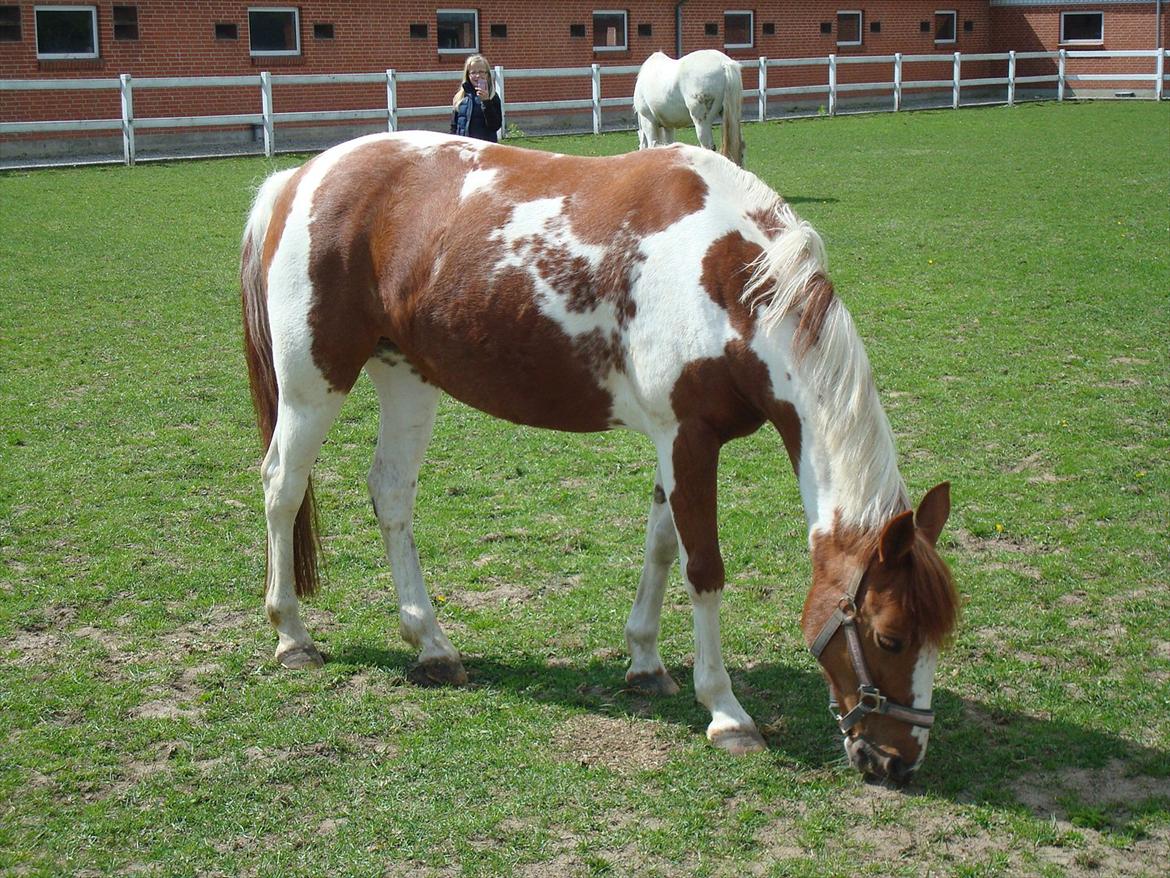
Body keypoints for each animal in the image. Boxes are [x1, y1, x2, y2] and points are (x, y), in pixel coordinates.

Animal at [239, 134, 959, 786]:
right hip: (314, 383)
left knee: (391, 494)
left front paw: (645, 664)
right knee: (282, 487)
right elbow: (703, 569)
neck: (732, 280)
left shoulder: (677, 443)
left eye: (936, 636)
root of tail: (297, 179)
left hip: (406, 375)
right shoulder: (687, 437)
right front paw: (725, 712)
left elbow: (662, 548)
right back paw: (292, 637)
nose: (898, 762)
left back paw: (433, 647)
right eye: (890, 637)